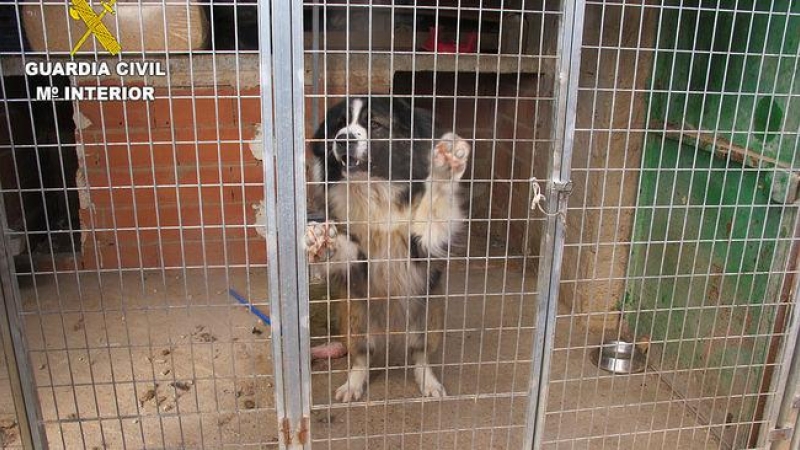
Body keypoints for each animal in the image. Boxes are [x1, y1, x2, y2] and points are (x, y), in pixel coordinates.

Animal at [304, 97, 468, 400]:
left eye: (375, 124)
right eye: (339, 125)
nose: (343, 139)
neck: (374, 189)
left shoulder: (421, 246)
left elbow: (435, 206)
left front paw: (445, 167)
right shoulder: (359, 259)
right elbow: (344, 252)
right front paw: (320, 241)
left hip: (429, 315)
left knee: (420, 354)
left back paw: (428, 382)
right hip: (355, 315)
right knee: (361, 356)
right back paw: (353, 383)